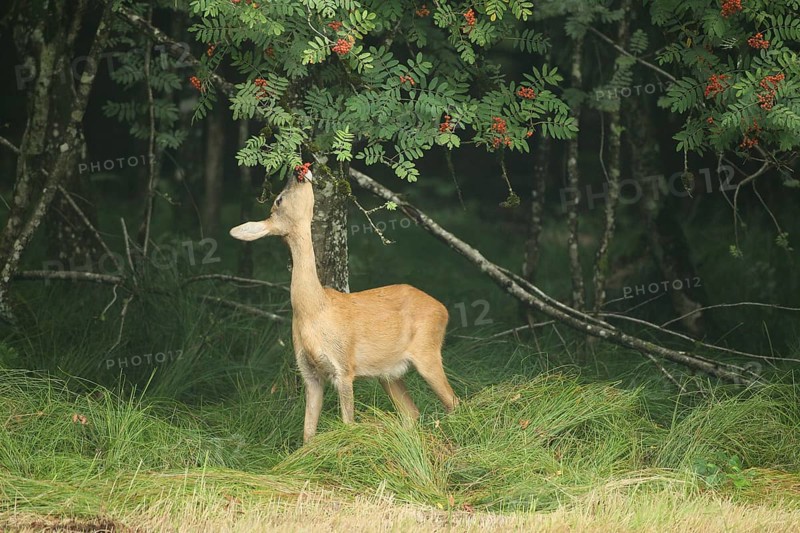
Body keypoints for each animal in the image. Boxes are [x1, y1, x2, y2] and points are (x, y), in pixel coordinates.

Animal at [229, 168, 459, 443]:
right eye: (279, 200)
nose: (298, 172)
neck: (314, 310)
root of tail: (443, 308)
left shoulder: (344, 365)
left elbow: (348, 423)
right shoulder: (309, 372)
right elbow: (308, 432)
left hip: (427, 350)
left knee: (454, 403)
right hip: (389, 372)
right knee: (412, 412)